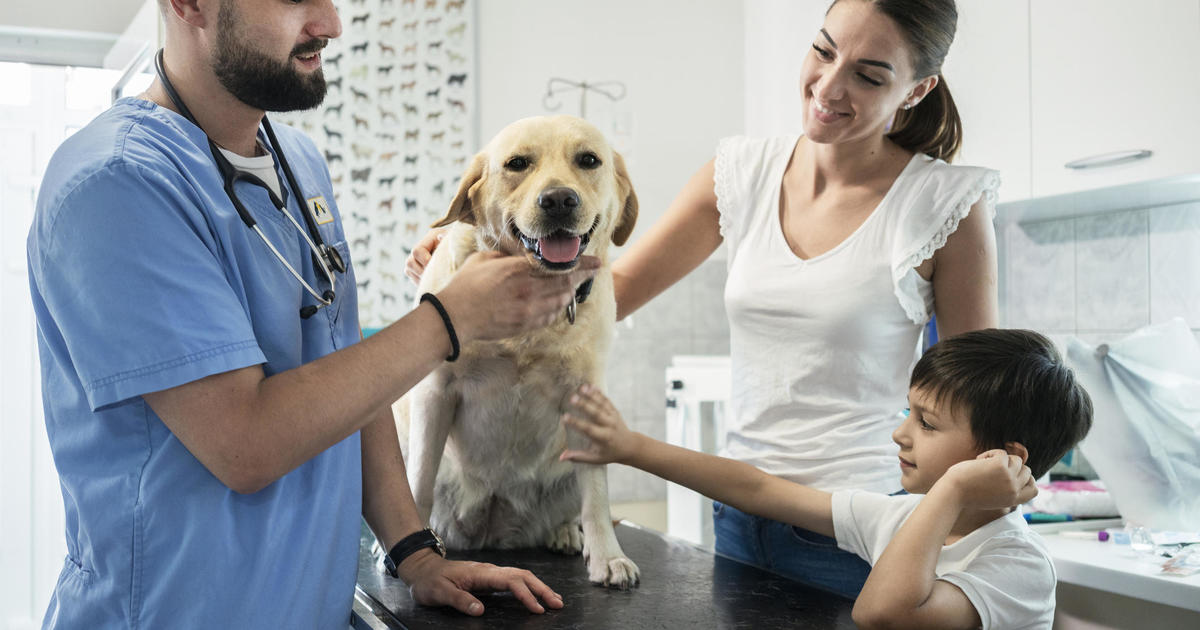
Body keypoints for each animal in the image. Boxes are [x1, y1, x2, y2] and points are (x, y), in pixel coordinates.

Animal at [393, 115, 638, 588]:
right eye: (518, 163)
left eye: (588, 160)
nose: (559, 199)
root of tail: (494, 530)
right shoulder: (435, 392)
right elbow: (418, 482)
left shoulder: (584, 399)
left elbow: (596, 495)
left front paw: (608, 556)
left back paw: (566, 532)